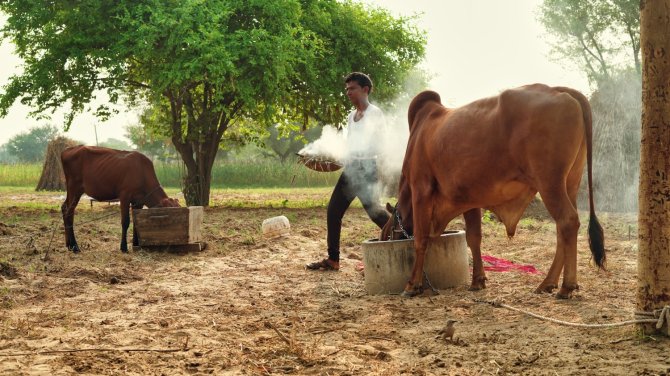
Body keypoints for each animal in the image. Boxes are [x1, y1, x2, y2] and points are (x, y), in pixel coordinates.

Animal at [384, 85, 608, 300]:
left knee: (568, 221)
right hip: (570, 183)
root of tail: (559, 90)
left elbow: (420, 239)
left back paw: (566, 286)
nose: (383, 238)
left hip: (549, 183)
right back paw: (547, 283)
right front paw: (478, 281)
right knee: (563, 228)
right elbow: (474, 238)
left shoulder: (421, 189)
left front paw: (412, 285)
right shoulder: (468, 199)